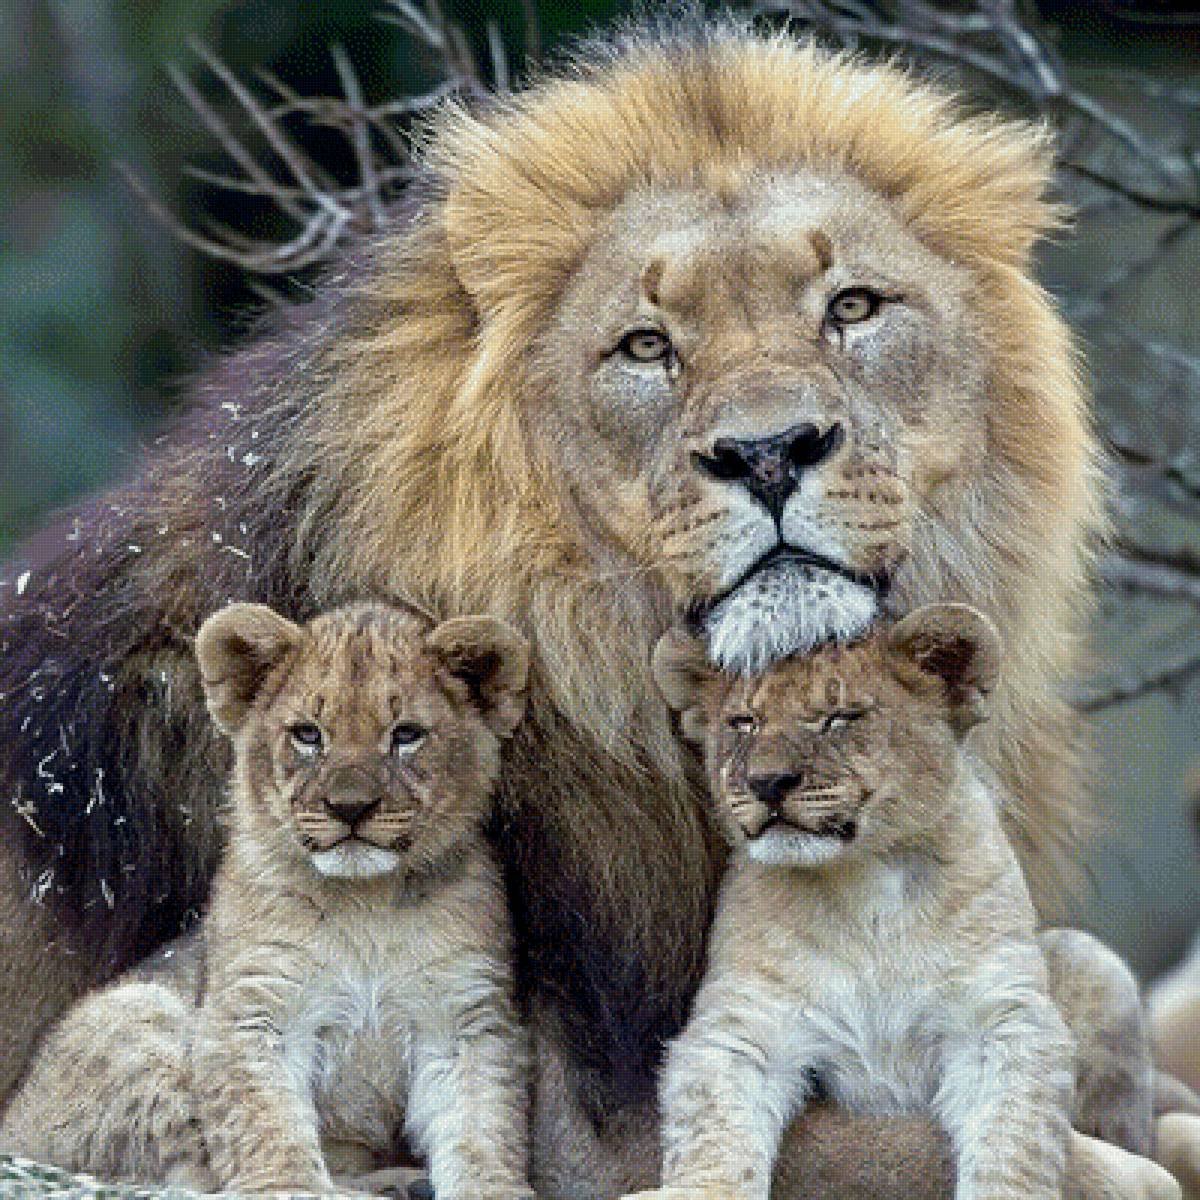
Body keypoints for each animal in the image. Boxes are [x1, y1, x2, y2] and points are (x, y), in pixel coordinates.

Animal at [2, 601, 534, 1198]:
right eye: (307, 734)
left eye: (406, 735)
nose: (350, 808)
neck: (367, 904)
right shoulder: (253, 1008)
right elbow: (263, 1119)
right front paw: (288, 1185)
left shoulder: (465, 1018)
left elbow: (481, 1123)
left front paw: (494, 1188)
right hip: (137, 1010)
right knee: (185, 1172)